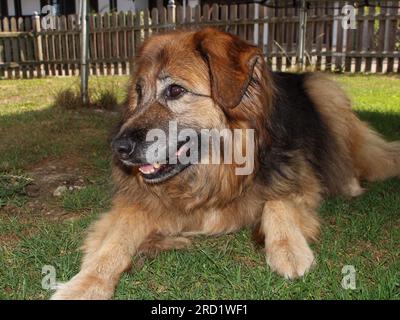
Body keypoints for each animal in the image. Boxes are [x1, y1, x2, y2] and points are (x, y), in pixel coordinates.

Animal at [50, 28, 400, 300]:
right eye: (139, 91)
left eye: (175, 90)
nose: (118, 147)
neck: (213, 172)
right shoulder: (137, 200)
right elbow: (115, 241)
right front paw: (86, 284)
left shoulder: (298, 179)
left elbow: (278, 202)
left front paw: (288, 250)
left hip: (325, 91)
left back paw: (351, 185)